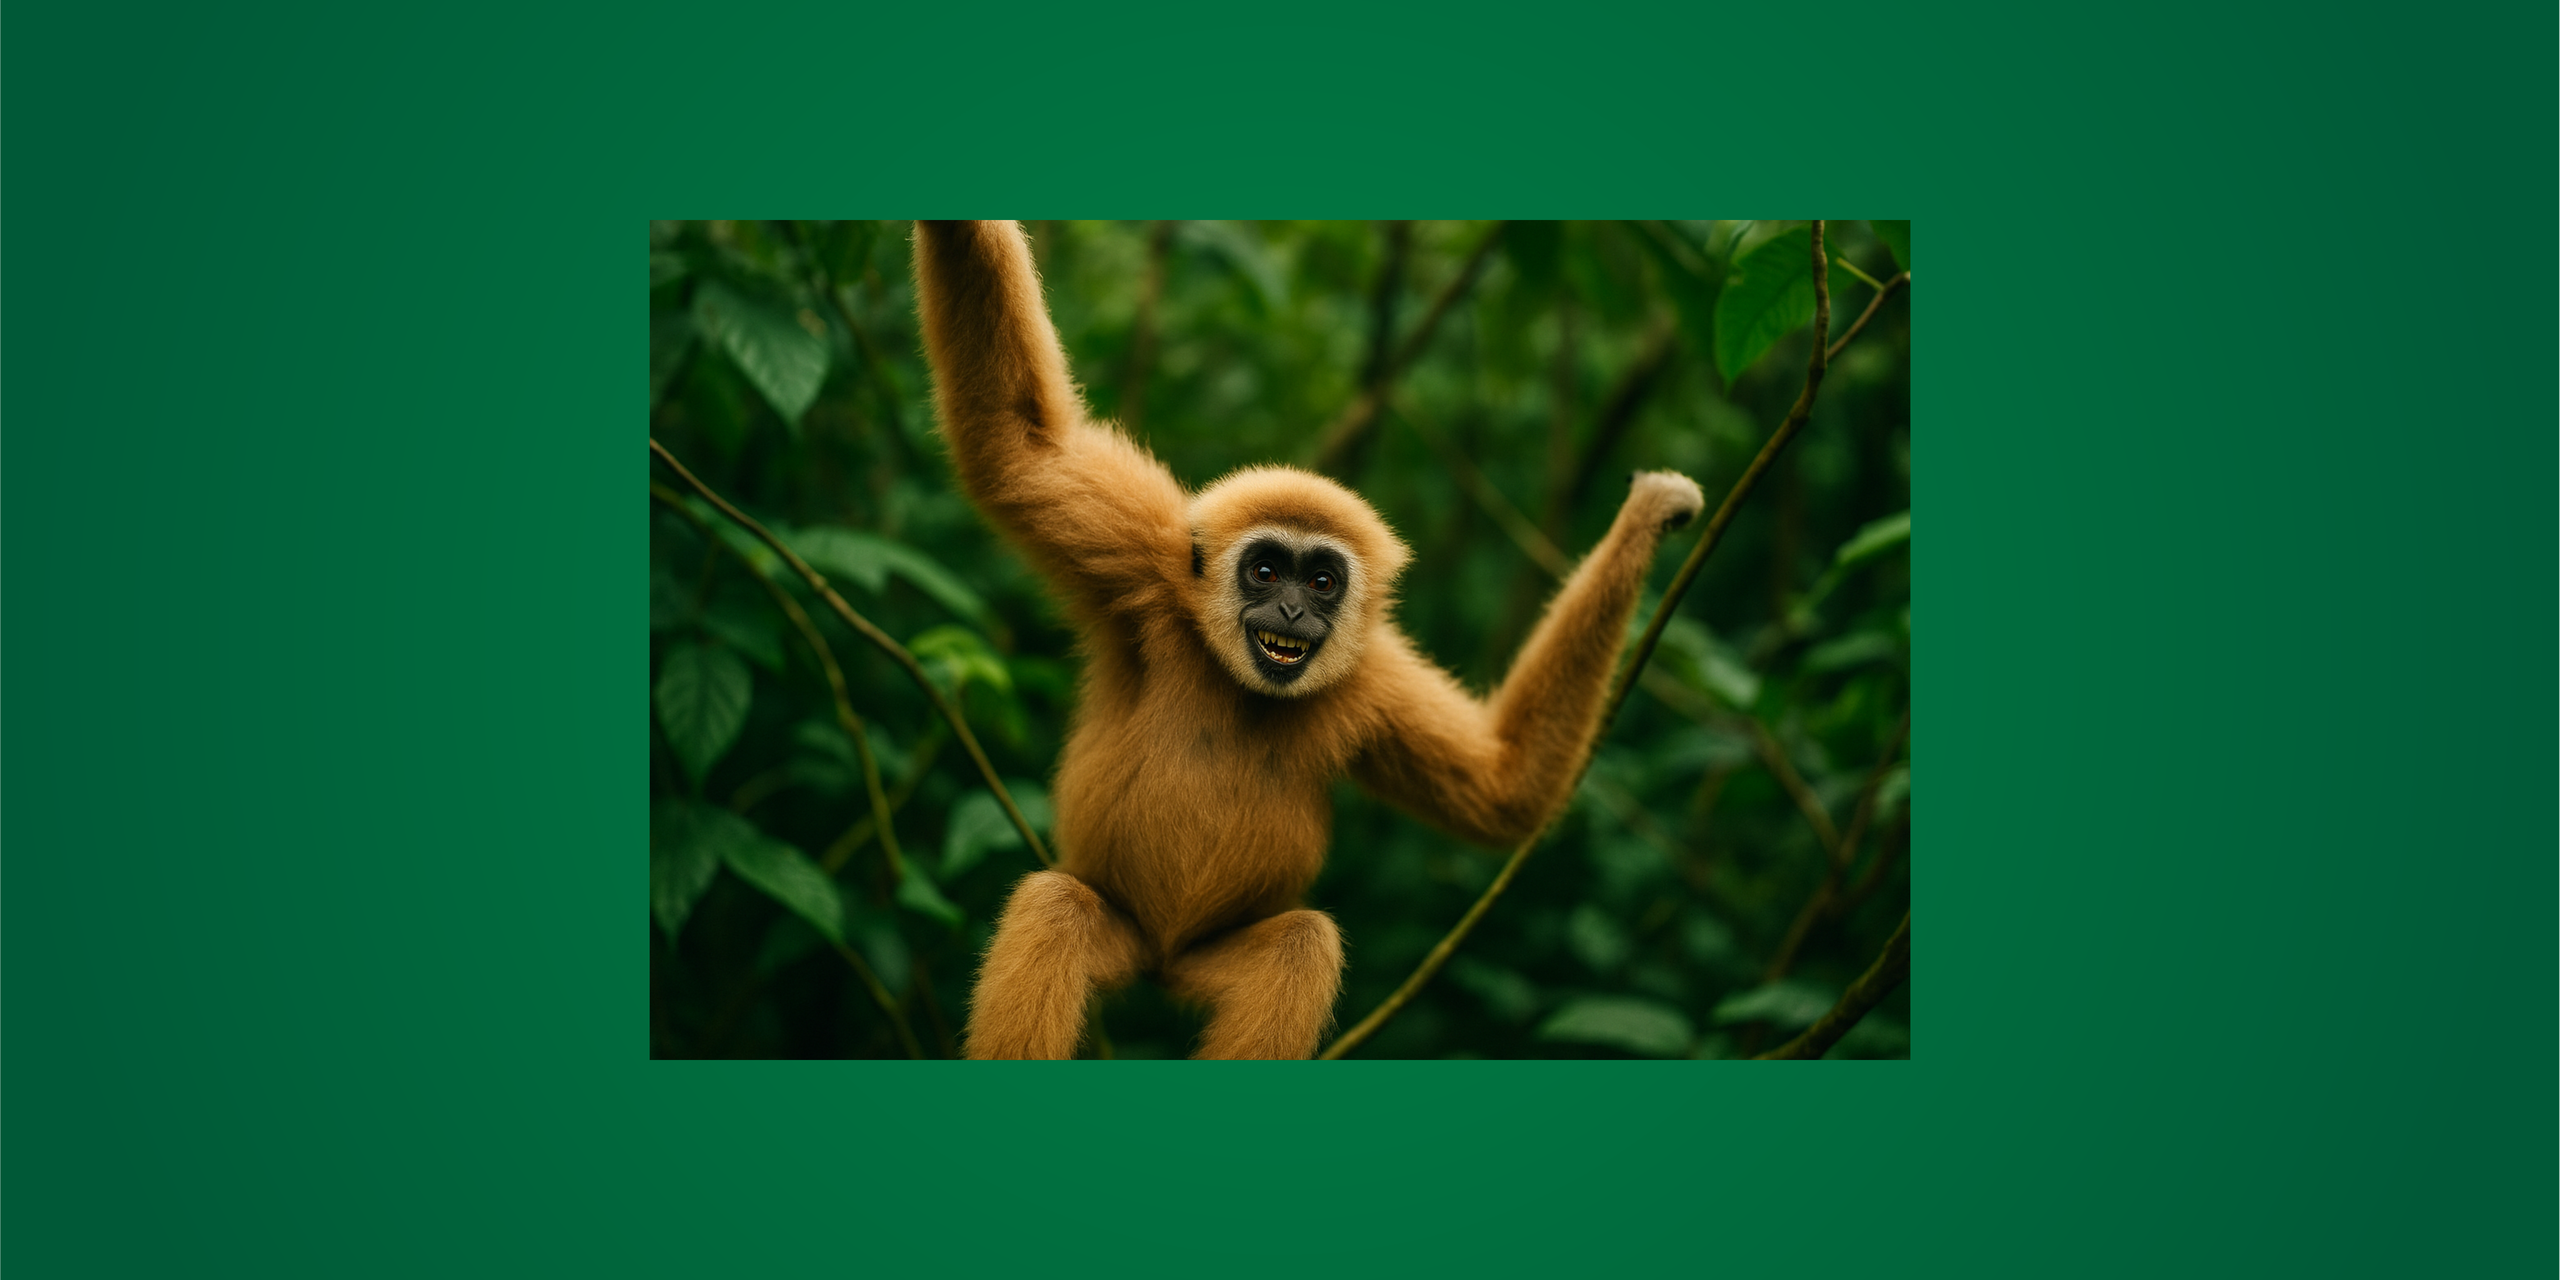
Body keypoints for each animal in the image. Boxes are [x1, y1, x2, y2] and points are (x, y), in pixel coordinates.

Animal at [911, 221, 1704, 1059]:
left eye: (1321, 581)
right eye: (1265, 571)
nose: (1293, 612)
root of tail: (1160, 958)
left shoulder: (1372, 680)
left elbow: (1504, 789)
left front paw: (1646, 519)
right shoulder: (1144, 566)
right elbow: (1018, 447)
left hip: (1204, 956)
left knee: (1299, 944)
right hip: (1120, 928)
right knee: (1059, 908)